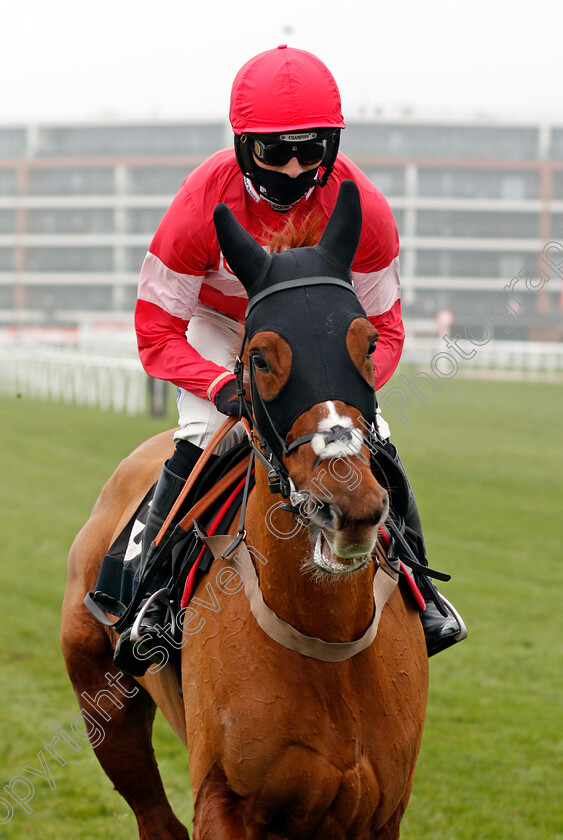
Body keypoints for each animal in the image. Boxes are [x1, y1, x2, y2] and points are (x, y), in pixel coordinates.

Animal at [59, 182, 428, 840]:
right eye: (259, 357)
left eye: (368, 345)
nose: (348, 506)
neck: (327, 638)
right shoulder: (227, 801)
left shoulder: (380, 812)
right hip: (100, 693)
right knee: (155, 816)